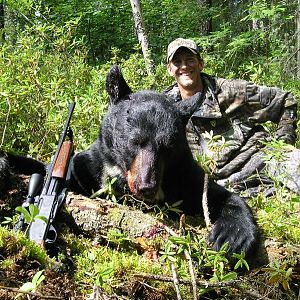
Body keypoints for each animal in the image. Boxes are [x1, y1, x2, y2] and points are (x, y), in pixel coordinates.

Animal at [70, 65, 258, 255]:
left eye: (168, 147)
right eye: (135, 141)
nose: (147, 187)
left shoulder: (183, 173)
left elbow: (219, 195)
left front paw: (232, 235)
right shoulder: (94, 165)